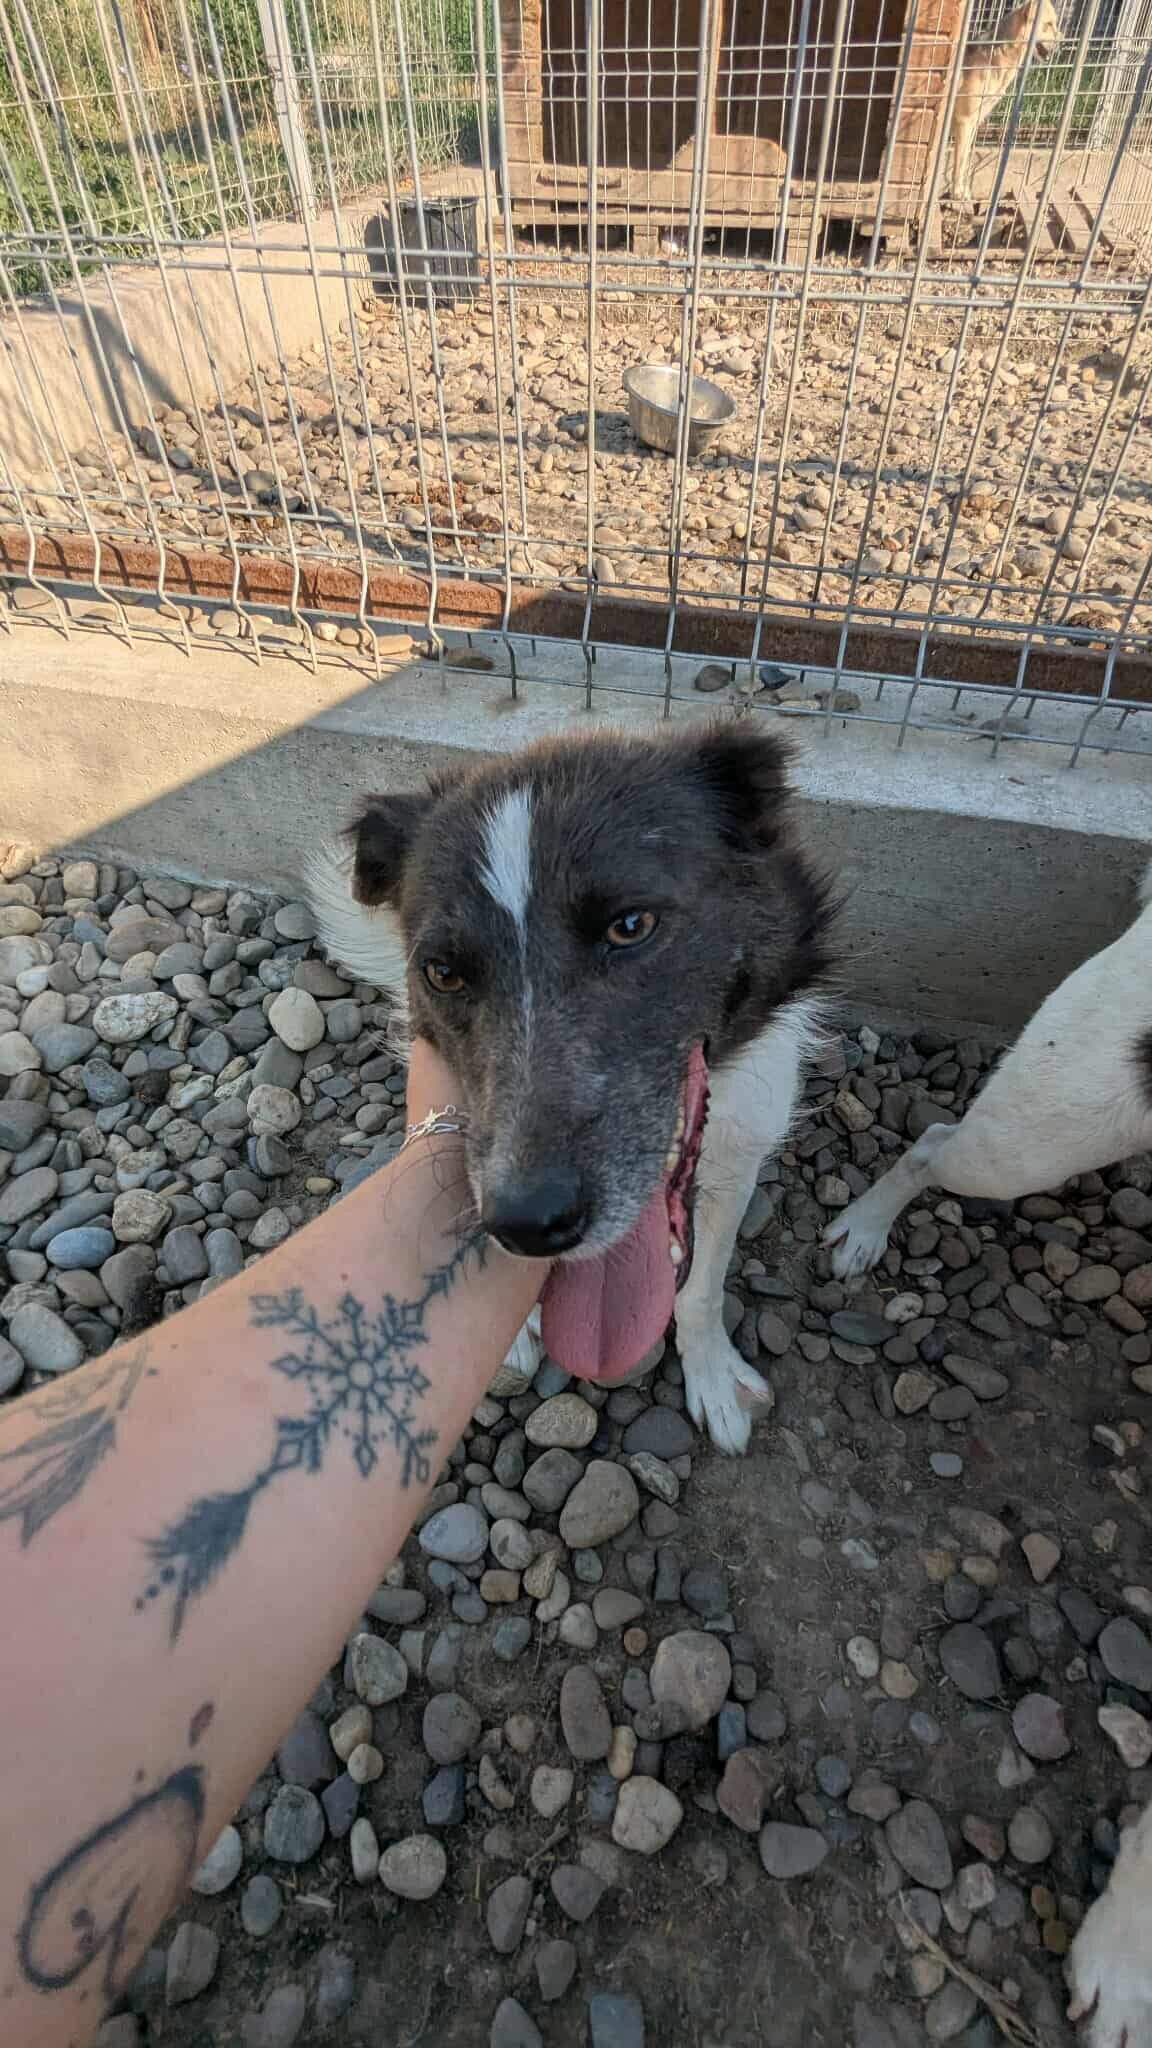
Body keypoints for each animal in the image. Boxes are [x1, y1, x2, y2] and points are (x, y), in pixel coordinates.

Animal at [308, 722, 834, 1455]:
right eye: (442, 972)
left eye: (630, 925)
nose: (529, 1223)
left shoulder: (739, 1156)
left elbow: (700, 1291)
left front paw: (710, 1373)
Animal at [946, 0, 1062, 208]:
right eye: (1049, 24)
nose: (1063, 45)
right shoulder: (964, 120)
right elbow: (960, 160)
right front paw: (957, 192)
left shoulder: (973, 123)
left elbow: (964, 158)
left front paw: (962, 189)